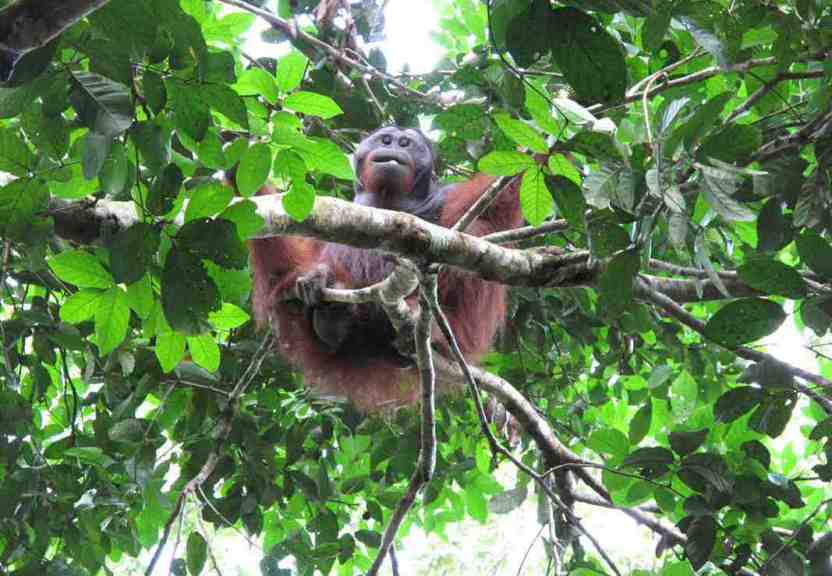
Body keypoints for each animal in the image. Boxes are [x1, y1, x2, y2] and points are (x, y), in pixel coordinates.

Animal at [249, 126, 523, 410]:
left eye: (405, 143)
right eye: (386, 139)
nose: (393, 146)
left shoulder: (448, 195)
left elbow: (490, 213)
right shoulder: (326, 212)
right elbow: (290, 263)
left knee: (475, 233)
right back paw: (330, 317)